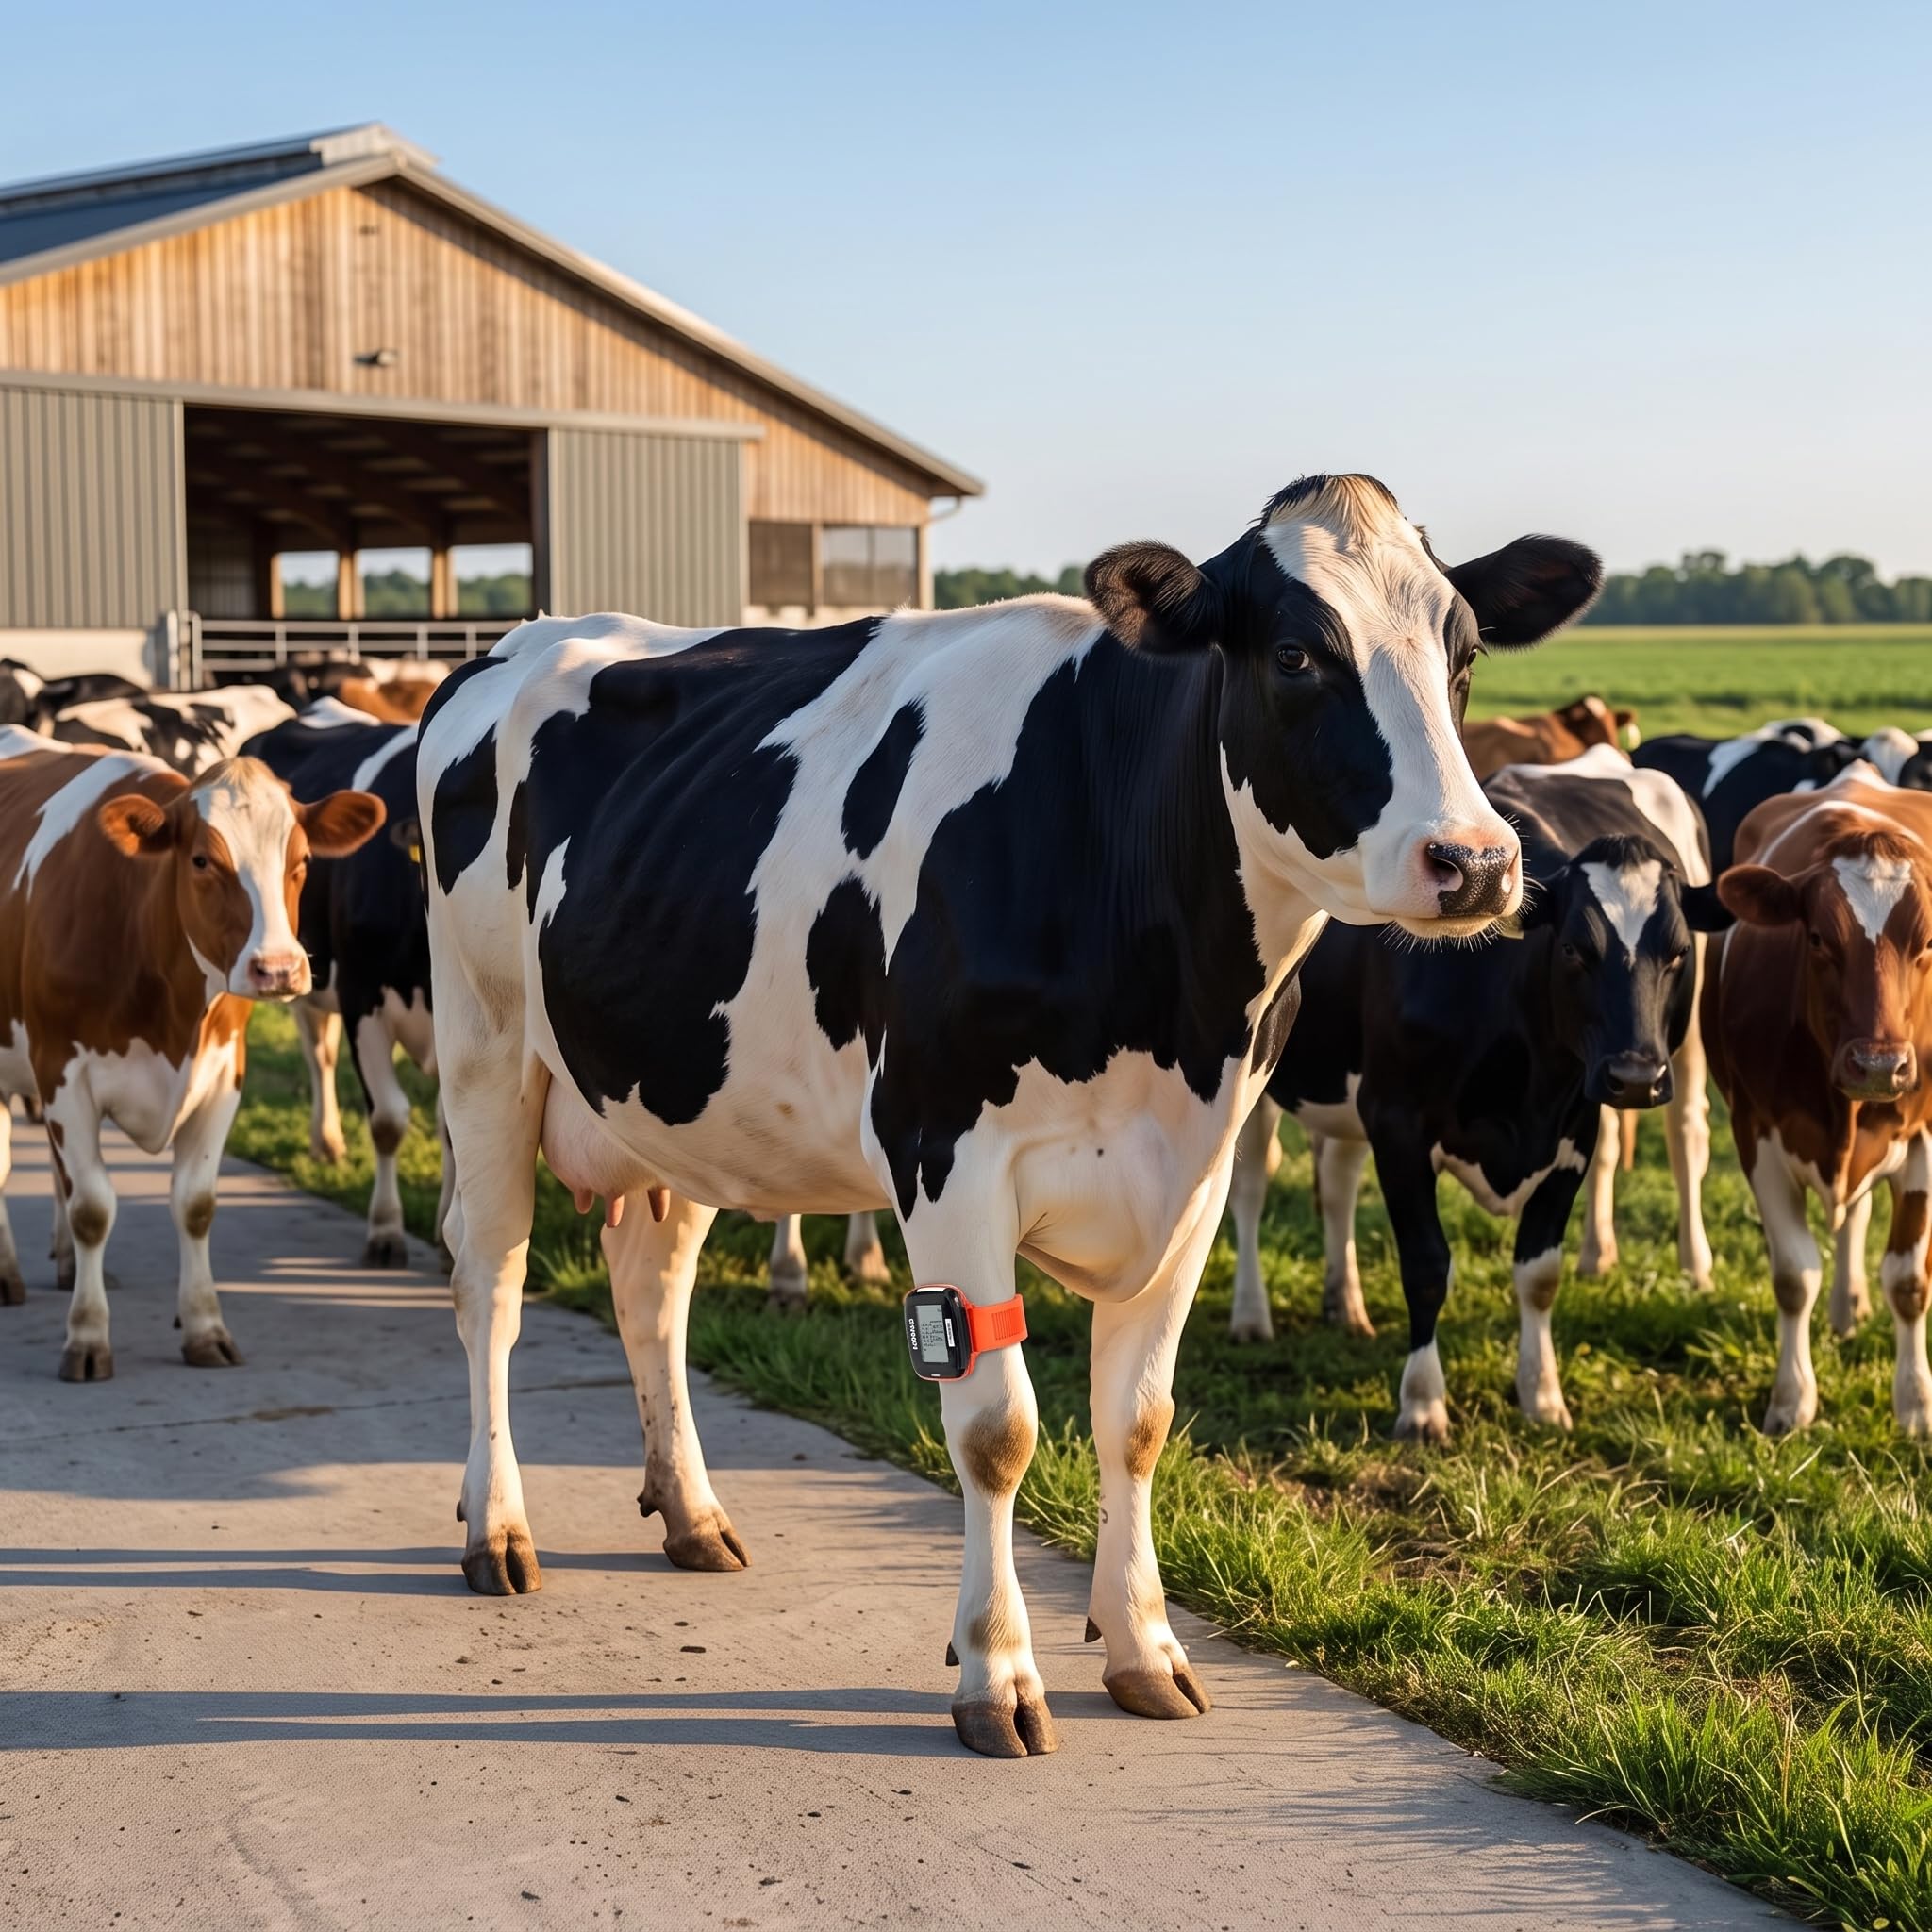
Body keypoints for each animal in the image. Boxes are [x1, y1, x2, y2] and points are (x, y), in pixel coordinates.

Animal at [0, 733, 381, 1375]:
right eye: (202, 860)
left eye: (302, 860)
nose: (279, 969)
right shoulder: (62, 1073)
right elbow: (93, 1208)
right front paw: (87, 1336)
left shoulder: (224, 1075)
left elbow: (195, 1204)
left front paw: (205, 1327)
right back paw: (9, 1277)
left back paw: (66, 1267)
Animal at [244, 702, 449, 1266]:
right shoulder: (362, 1000)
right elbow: (388, 1120)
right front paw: (385, 1230)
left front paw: (452, 1237)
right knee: (319, 1056)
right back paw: (328, 1142)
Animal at [417, 473, 1601, 1758]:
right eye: (1295, 652)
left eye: (1463, 651)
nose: (1475, 862)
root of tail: (515, 642)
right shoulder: (944, 1150)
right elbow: (997, 1428)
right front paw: (996, 1670)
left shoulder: (1192, 1169)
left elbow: (1137, 1417)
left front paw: (1143, 1648)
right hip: (484, 1049)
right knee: (489, 1284)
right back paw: (496, 1528)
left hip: (672, 1097)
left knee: (651, 1288)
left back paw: (690, 1512)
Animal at [1230, 746, 1728, 1437]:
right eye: (1573, 949)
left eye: (1678, 952)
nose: (1633, 1077)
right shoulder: (1397, 1122)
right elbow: (1426, 1267)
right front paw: (1422, 1403)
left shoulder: (1572, 1135)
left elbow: (1539, 1275)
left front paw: (1542, 1395)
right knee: (1252, 1187)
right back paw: (1252, 1315)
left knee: (1686, 1136)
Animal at [1708, 769, 1932, 1435]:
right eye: (1815, 937)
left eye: (1928, 941)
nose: (1879, 1065)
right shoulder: (1754, 1131)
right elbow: (1793, 1275)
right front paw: (1791, 1398)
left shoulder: (1924, 1139)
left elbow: (1908, 1281)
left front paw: (1915, 1405)